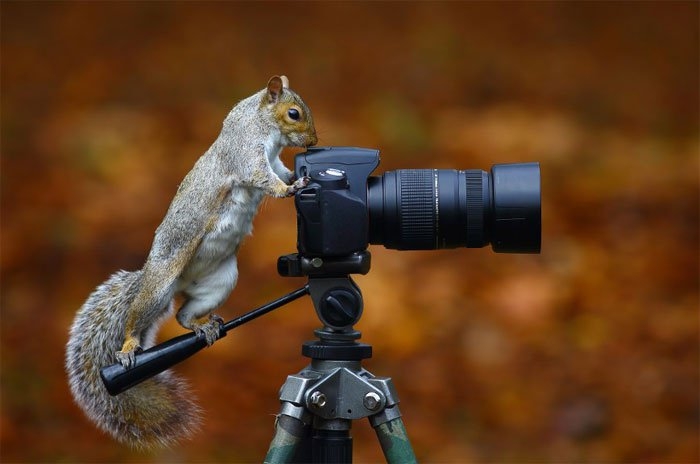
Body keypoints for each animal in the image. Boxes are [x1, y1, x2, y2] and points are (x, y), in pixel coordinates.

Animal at [65, 76, 318, 450]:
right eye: (293, 113)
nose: (314, 142)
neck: (259, 121)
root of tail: (166, 279)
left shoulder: (274, 160)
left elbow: (280, 171)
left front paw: (295, 178)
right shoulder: (246, 153)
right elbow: (264, 178)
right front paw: (294, 186)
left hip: (220, 281)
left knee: (183, 315)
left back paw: (202, 326)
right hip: (159, 288)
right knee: (135, 318)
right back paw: (128, 348)